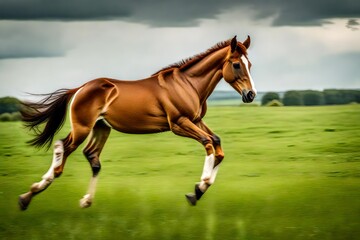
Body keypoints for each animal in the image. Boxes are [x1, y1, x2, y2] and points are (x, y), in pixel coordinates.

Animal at [19, 35, 256, 210]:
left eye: (250, 64)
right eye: (236, 65)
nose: (251, 95)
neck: (188, 85)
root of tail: (80, 88)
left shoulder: (196, 120)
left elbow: (217, 144)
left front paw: (197, 191)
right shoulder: (179, 123)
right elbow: (208, 143)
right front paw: (201, 185)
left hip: (101, 128)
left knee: (92, 157)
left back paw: (84, 200)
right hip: (82, 128)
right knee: (62, 147)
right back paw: (30, 194)